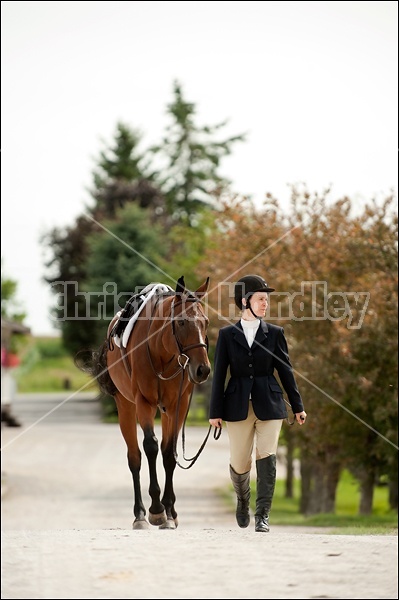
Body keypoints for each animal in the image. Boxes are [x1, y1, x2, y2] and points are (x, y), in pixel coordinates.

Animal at [82, 276, 211, 528]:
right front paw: (157, 510)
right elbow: (150, 447)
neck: (161, 350)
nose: (202, 369)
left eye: (206, 322)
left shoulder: (178, 406)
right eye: (181, 322)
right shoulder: (144, 403)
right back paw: (140, 514)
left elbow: (169, 453)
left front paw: (169, 511)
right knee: (135, 457)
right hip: (126, 407)